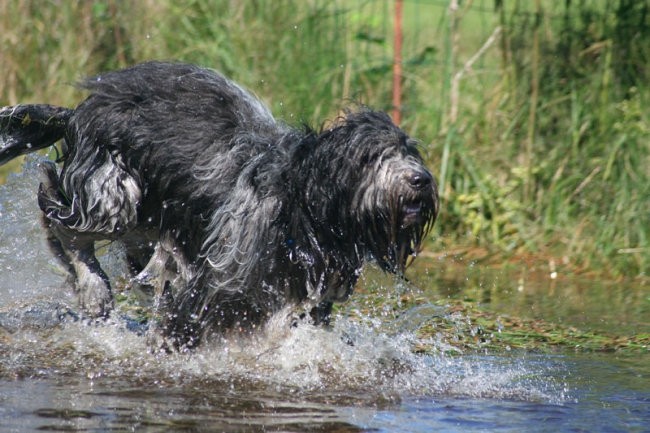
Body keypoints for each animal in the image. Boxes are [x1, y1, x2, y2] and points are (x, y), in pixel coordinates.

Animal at [0, 61, 438, 348]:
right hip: (113, 193)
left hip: (146, 221)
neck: (299, 208)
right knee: (60, 219)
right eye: (372, 157)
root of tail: (78, 112)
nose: (421, 180)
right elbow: (186, 321)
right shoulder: (217, 280)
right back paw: (93, 288)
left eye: (409, 151)